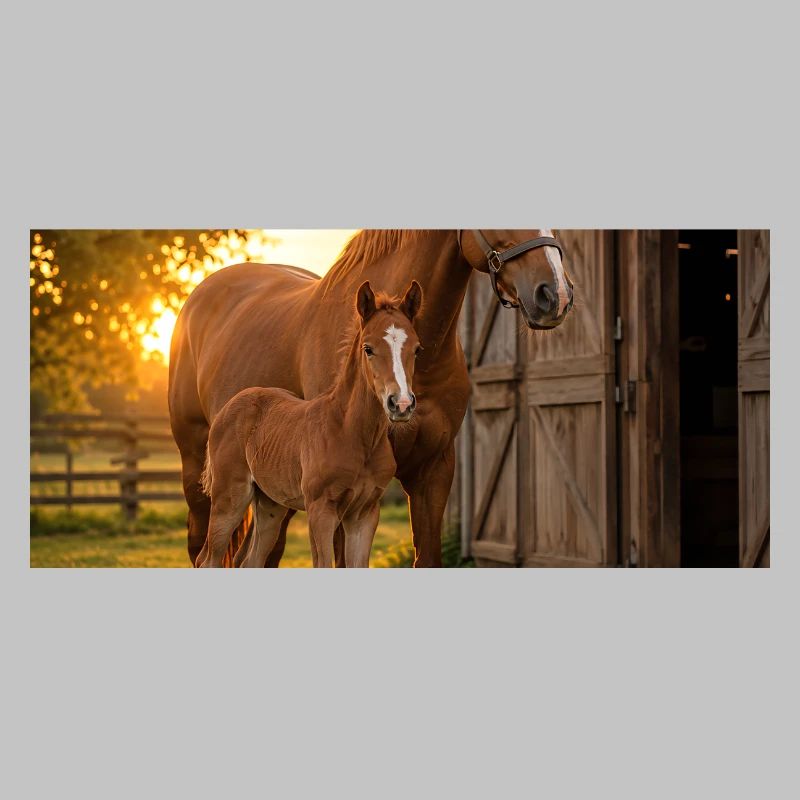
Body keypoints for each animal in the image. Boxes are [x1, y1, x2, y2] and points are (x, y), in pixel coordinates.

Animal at [196, 281, 422, 568]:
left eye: (417, 349)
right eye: (368, 348)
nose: (401, 404)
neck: (351, 433)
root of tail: (230, 406)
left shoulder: (365, 513)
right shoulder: (320, 510)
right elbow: (324, 564)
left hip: (270, 504)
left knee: (250, 560)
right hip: (229, 497)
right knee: (208, 559)